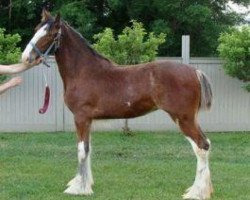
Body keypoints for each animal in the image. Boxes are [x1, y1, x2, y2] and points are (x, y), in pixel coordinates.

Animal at [22, 9, 213, 200]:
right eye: (36, 29)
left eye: (51, 34)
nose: (25, 57)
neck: (84, 72)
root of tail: (195, 71)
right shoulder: (88, 120)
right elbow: (88, 149)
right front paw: (86, 184)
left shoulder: (81, 117)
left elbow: (81, 150)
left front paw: (78, 188)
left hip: (184, 119)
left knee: (201, 147)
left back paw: (196, 192)